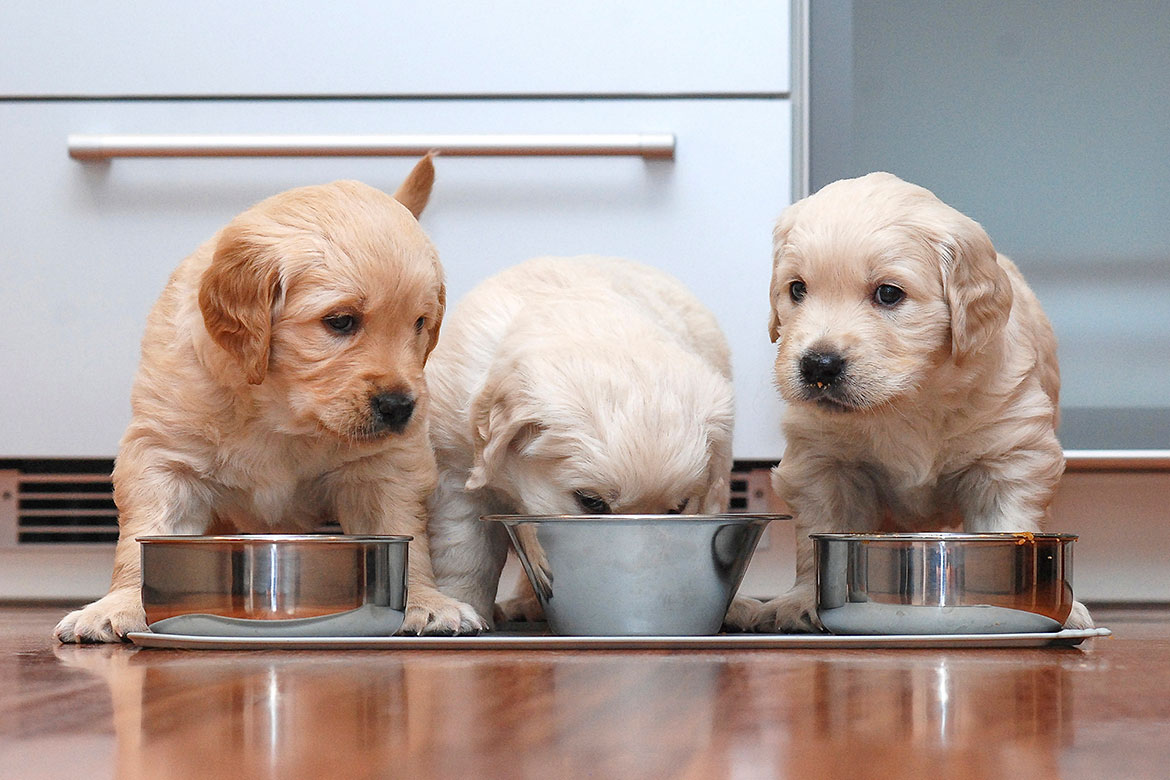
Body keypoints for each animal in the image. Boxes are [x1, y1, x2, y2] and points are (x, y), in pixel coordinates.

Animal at [53, 155, 484, 645]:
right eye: (340, 321)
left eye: (420, 323)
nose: (399, 406)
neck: (280, 411)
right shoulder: (164, 454)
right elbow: (143, 536)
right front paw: (119, 605)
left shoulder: (385, 466)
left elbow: (402, 532)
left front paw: (425, 601)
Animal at [739, 174, 1095, 631]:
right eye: (797, 289)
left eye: (889, 293)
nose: (818, 365)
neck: (910, 398)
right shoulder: (822, 462)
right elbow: (817, 534)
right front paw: (802, 601)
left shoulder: (1010, 455)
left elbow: (1008, 520)